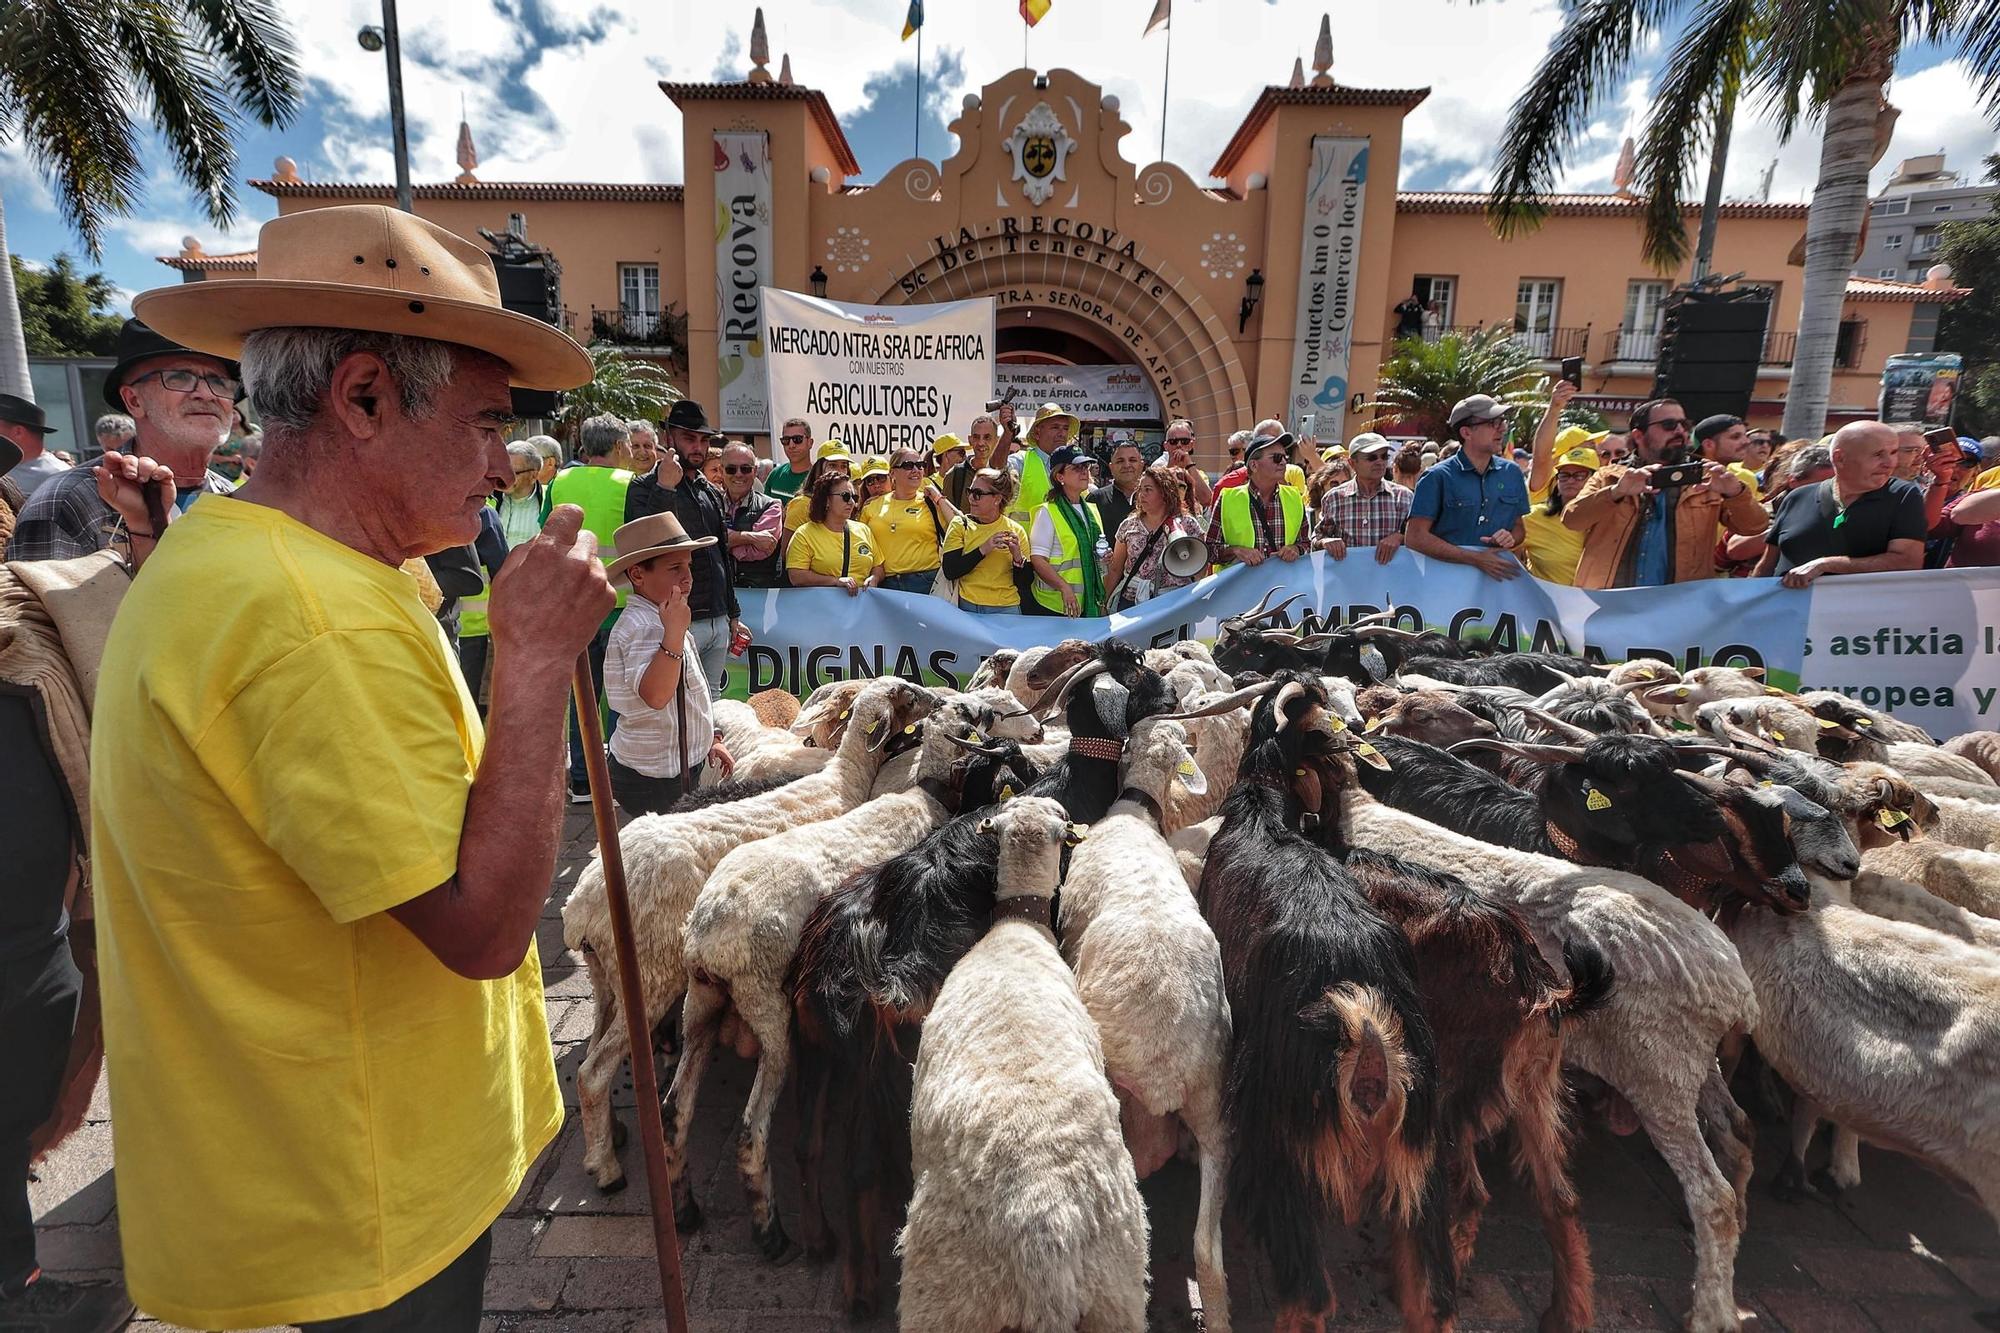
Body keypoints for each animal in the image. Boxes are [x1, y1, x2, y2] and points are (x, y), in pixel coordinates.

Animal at [560, 680, 940, 1184]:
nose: (940, 699)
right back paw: (607, 1169)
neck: (842, 779)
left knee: (591, 1054)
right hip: (649, 973)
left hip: (604, 976)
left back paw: (610, 1138)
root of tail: (580, 905)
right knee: (594, 1072)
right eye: (906, 694)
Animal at [668, 700, 1000, 1248]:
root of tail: (709, 935)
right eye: (966, 719)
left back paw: (687, 1210)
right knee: (752, 1130)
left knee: (676, 1109)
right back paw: (774, 1234)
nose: (988, 712)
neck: (922, 796)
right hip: (771, 1014)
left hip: (700, 1003)